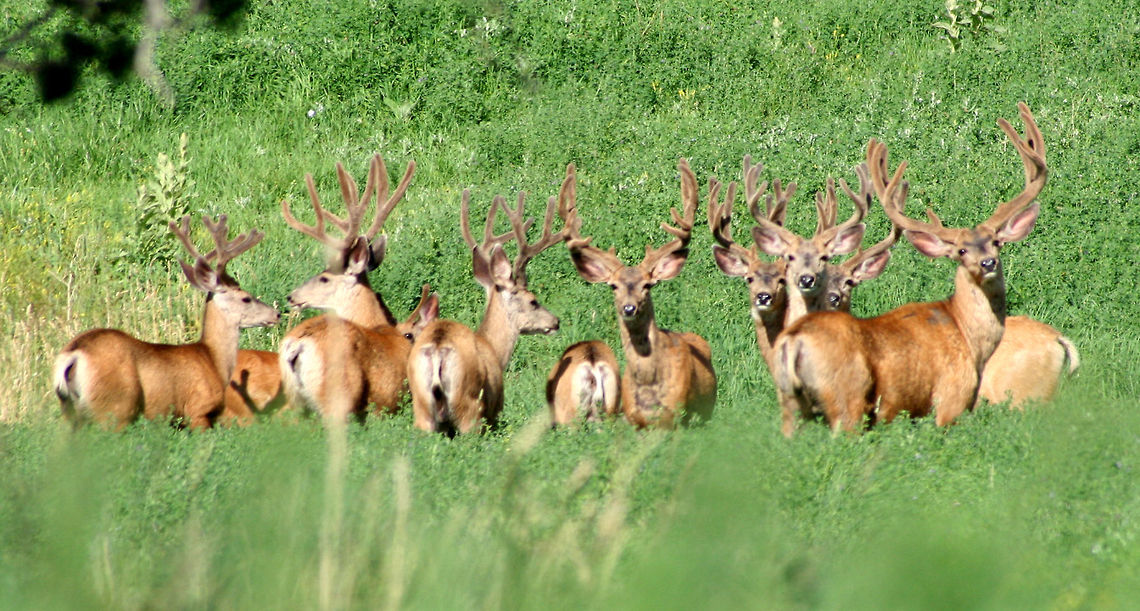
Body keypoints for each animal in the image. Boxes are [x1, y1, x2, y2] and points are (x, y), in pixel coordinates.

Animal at [53, 215, 279, 430]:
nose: (276, 314)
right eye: (246, 298)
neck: (213, 359)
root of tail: (74, 354)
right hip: (115, 408)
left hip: (70, 412)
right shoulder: (198, 410)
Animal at [407, 185, 564, 435]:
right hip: (469, 405)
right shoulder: (494, 406)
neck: (493, 348)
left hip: (421, 406)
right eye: (533, 301)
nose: (555, 321)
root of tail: (438, 349)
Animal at [560, 160, 717, 429]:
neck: (648, 382)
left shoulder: (677, 418)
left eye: (648, 285)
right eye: (613, 286)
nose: (629, 308)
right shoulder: (631, 418)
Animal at [771, 102, 1047, 436]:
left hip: (790, 404)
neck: (969, 337)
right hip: (846, 400)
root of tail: (793, 340)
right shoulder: (951, 399)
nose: (987, 263)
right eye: (961, 251)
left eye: (995, 242)